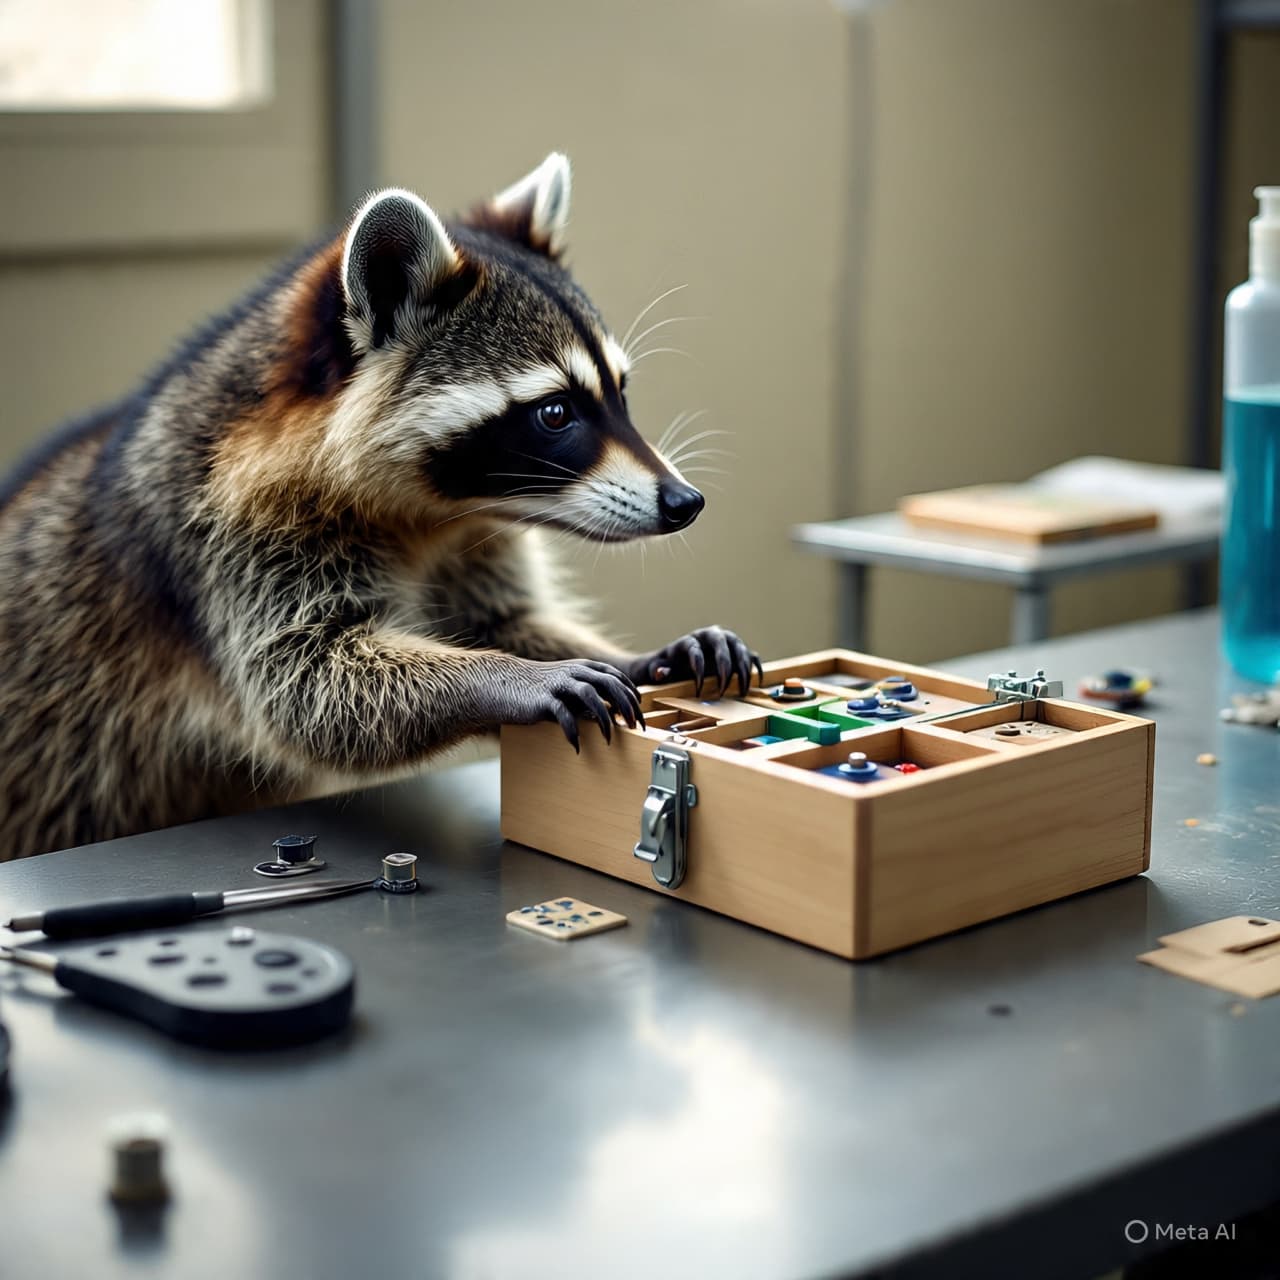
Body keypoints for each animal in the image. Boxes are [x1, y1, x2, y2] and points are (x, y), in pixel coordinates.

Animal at [0, 153, 759, 861]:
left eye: (620, 394)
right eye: (555, 413)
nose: (685, 502)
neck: (434, 513)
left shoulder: (470, 536)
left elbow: (499, 620)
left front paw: (645, 660)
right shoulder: (227, 538)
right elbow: (303, 683)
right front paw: (506, 677)